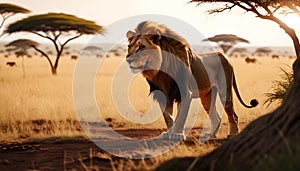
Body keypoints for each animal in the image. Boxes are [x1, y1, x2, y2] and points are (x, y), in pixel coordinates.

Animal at [125, 21, 256, 142]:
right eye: (129, 47)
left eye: (141, 47)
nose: (128, 60)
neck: (161, 70)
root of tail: (224, 55)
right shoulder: (163, 94)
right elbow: (168, 117)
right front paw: (169, 133)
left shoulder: (184, 93)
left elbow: (181, 116)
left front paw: (177, 135)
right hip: (207, 96)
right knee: (216, 117)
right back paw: (210, 135)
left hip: (225, 91)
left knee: (233, 114)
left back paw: (232, 134)